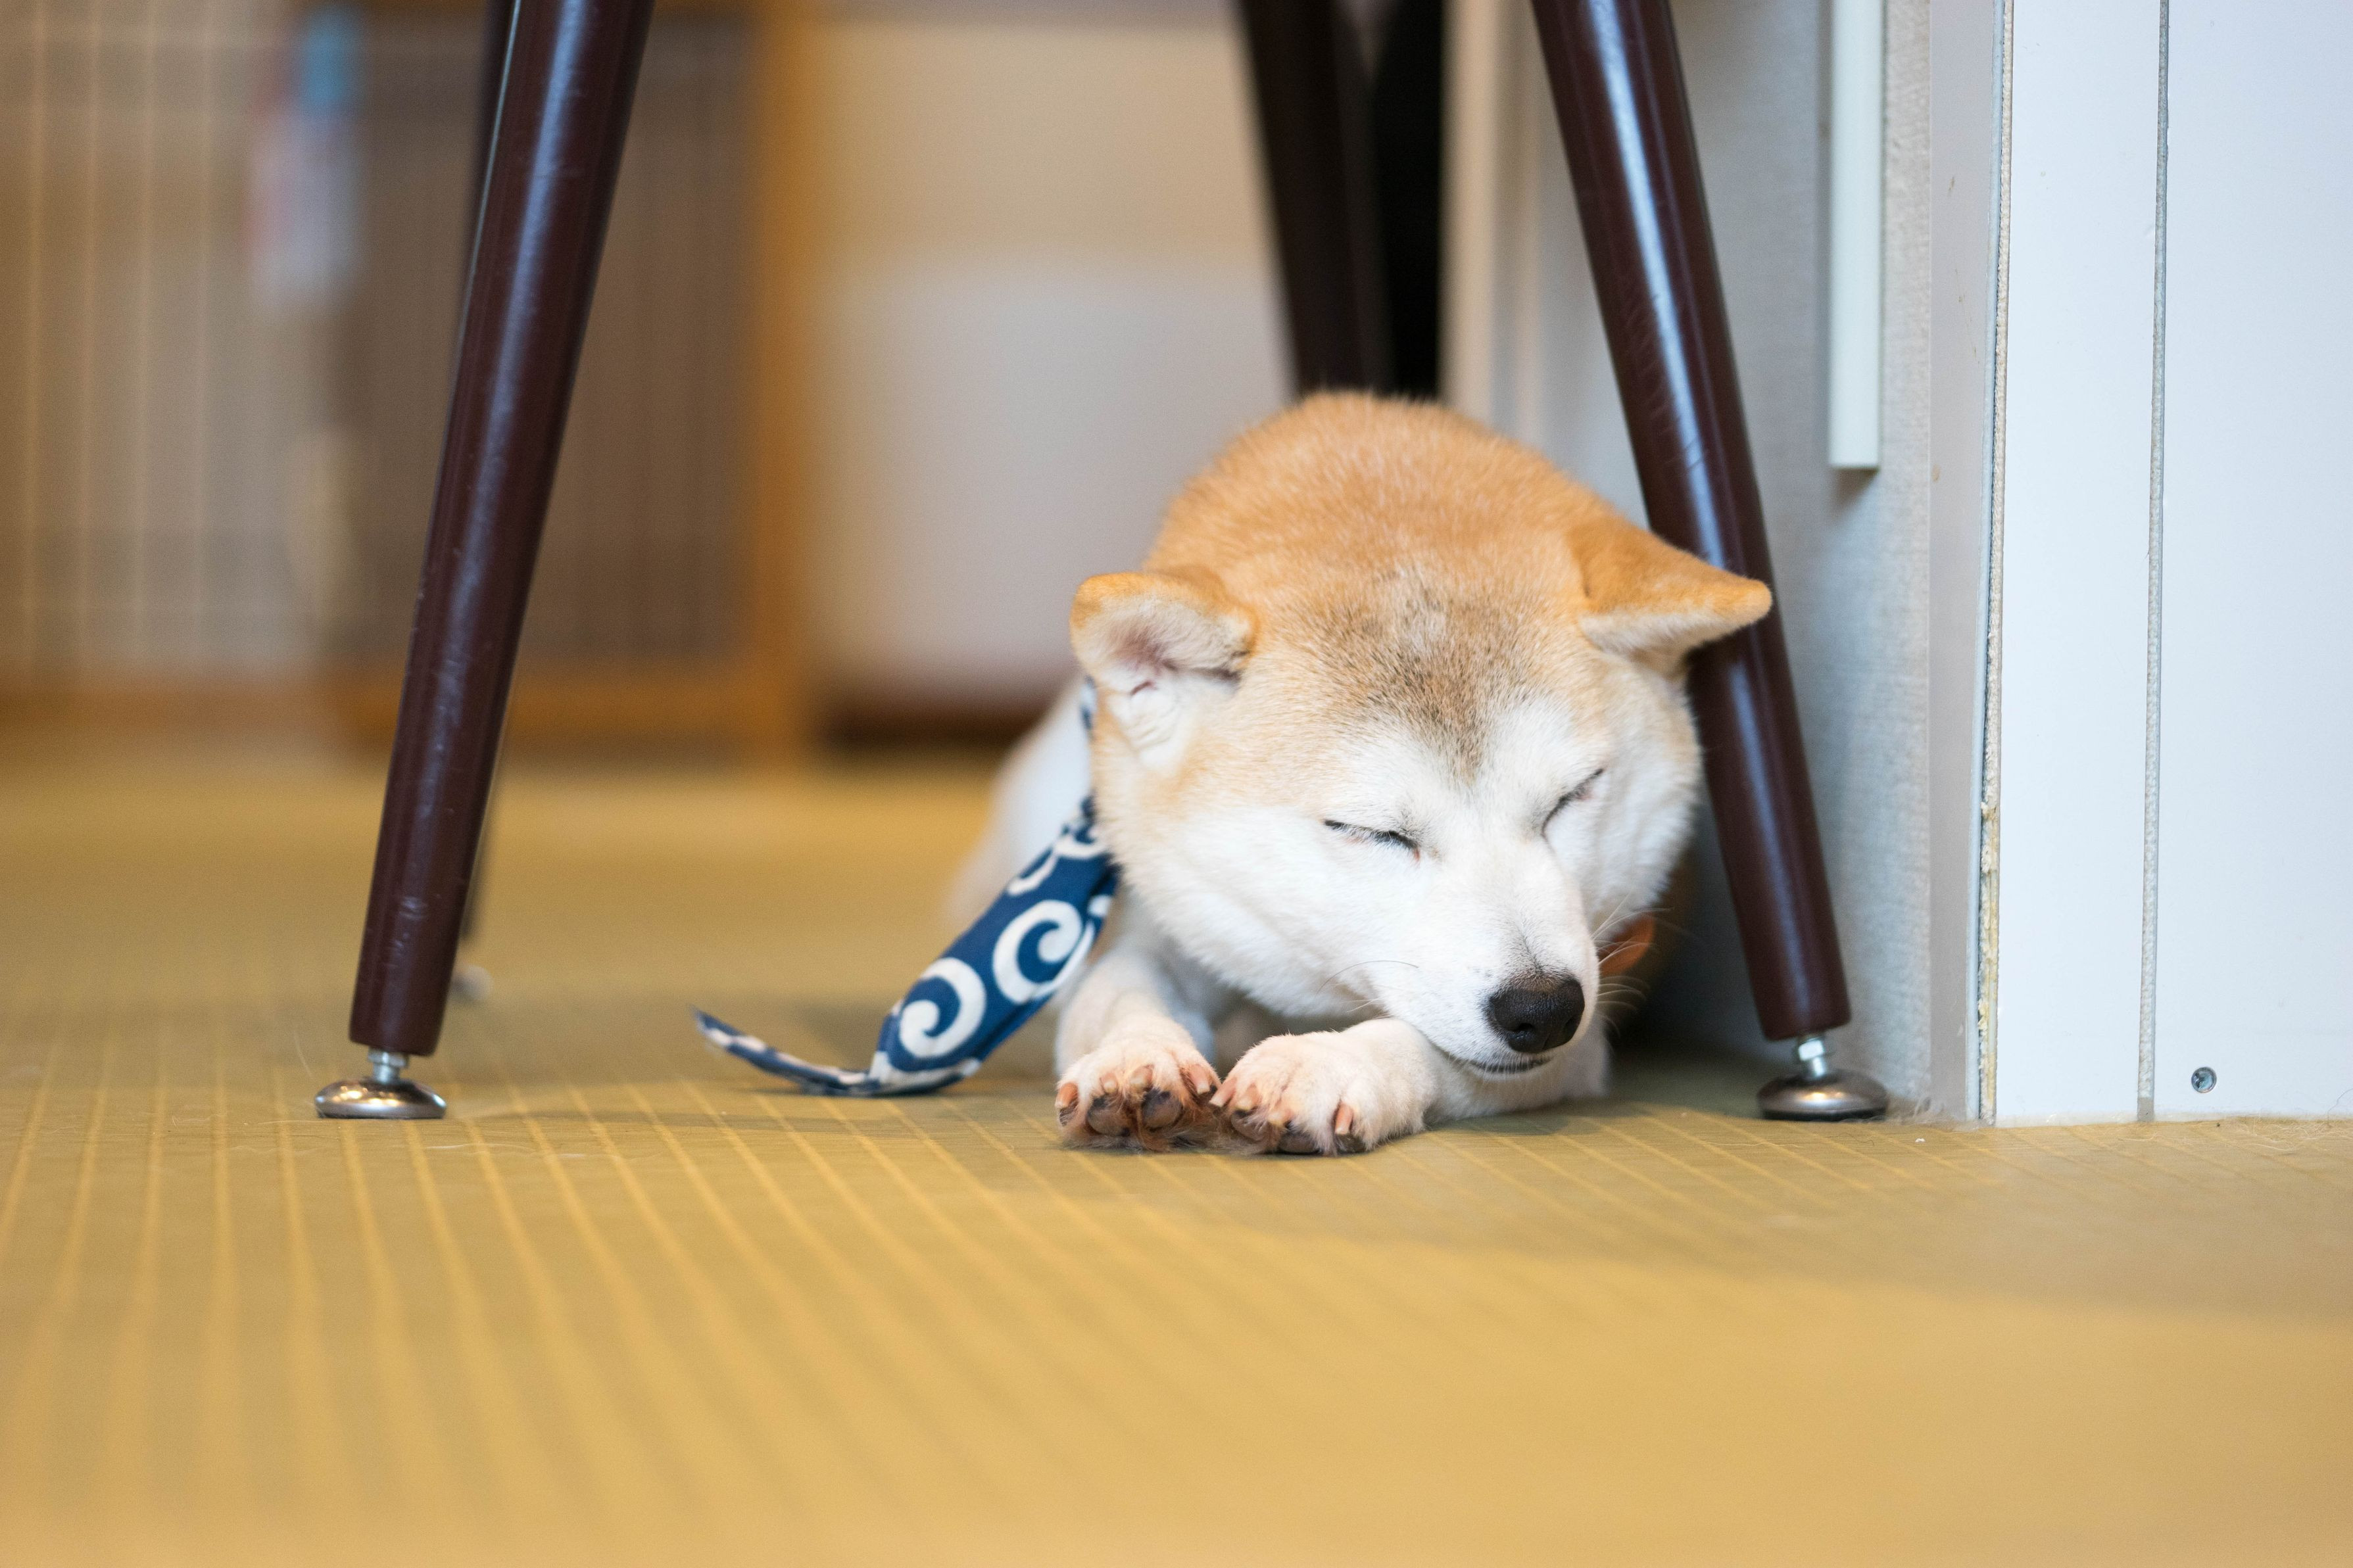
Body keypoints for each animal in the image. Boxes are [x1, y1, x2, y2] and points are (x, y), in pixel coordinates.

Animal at [965, 395, 1769, 1153]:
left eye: (1572, 796)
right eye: (1374, 832)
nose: (1541, 1007)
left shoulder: (1583, 1035)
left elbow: (1423, 1042)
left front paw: (1330, 1065)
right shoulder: (1169, 922)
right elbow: (1116, 987)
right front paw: (1135, 1055)